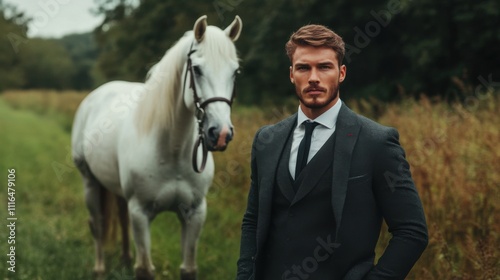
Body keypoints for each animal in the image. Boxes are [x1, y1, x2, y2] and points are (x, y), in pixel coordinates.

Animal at [71, 15, 242, 280]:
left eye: (235, 72)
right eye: (197, 69)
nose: (221, 133)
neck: (171, 151)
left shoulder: (195, 213)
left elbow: (188, 269)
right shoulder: (141, 213)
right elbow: (144, 269)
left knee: (120, 216)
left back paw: (124, 258)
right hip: (90, 182)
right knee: (97, 224)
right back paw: (99, 268)